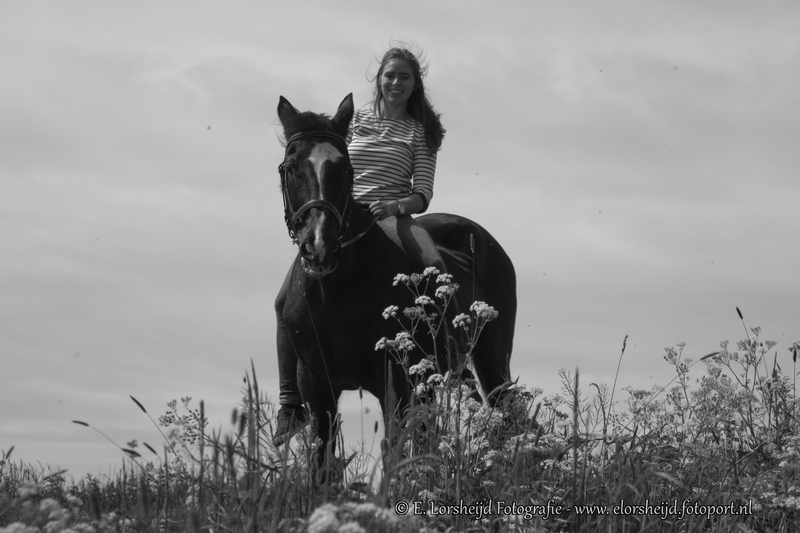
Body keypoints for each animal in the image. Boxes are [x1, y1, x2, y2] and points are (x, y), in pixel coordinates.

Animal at [274, 94, 517, 473]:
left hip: (492, 363)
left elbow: (394, 451)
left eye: (345, 168)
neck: (335, 293)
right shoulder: (315, 384)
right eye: (290, 166)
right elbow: (322, 462)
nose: (319, 246)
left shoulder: (394, 380)